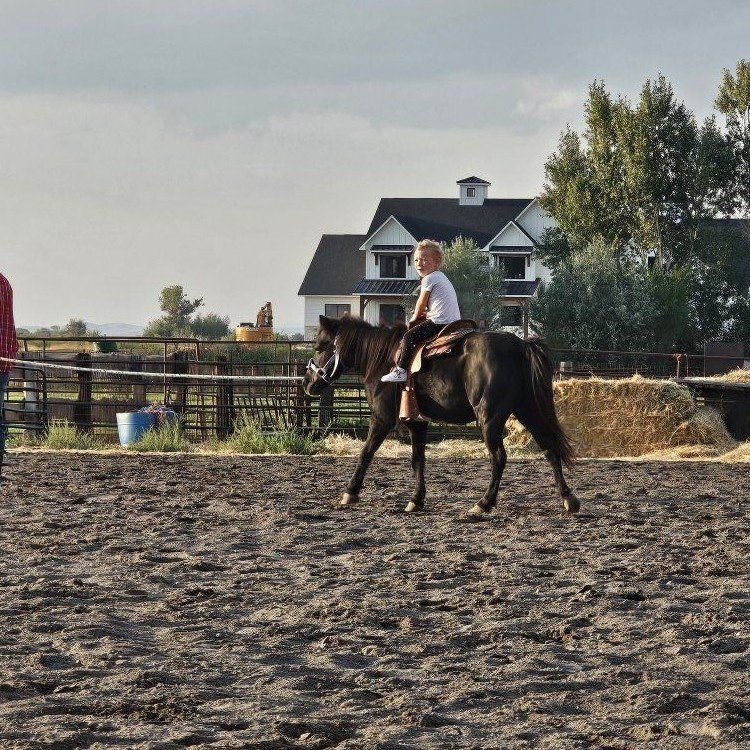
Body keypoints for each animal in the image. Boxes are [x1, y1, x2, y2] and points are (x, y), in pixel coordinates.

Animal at [303, 314, 578, 515]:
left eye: (319, 346)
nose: (307, 383)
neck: (382, 359)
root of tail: (521, 345)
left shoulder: (381, 419)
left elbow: (366, 453)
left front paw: (350, 492)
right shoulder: (417, 423)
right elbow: (418, 460)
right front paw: (416, 500)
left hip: (490, 418)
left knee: (499, 457)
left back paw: (483, 503)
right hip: (529, 410)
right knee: (550, 449)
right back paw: (569, 498)